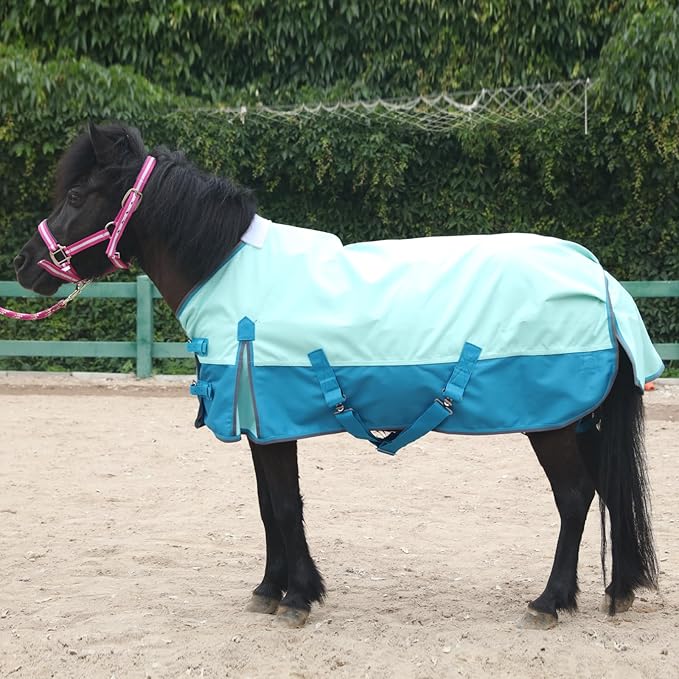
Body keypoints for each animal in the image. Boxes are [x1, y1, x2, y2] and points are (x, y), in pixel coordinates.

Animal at [12, 122, 661, 630]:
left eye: (77, 193)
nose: (23, 263)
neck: (227, 272)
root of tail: (599, 277)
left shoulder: (272, 420)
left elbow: (284, 504)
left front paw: (297, 597)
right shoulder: (262, 424)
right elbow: (266, 504)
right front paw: (270, 590)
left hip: (551, 424)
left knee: (575, 496)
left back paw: (550, 601)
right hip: (578, 420)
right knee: (607, 490)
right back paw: (615, 591)